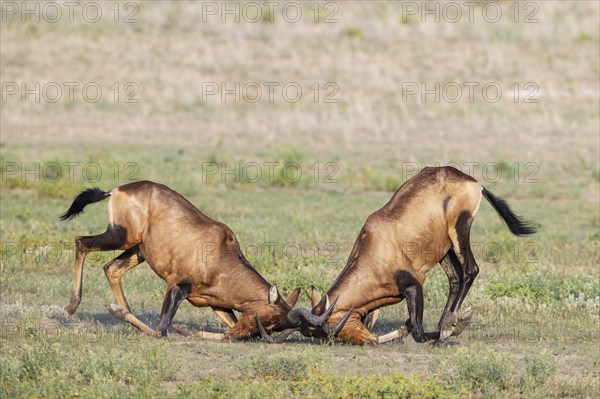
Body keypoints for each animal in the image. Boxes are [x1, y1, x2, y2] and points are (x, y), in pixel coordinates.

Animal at [59, 181, 346, 340]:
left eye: (274, 327)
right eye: (268, 319)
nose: (244, 335)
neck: (220, 253)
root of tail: (117, 190)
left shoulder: (216, 303)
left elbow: (226, 322)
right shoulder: (177, 286)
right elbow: (162, 330)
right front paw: (115, 312)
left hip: (138, 250)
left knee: (112, 269)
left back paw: (122, 310)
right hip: (121, 237)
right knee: (81, 243)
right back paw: (72, 307)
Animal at [304, 167, 536, 346]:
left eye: (334, 331)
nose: (369, 341)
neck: (375, 245)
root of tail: (472, 181)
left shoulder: (414, 285)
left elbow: (418, 332)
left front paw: (446, 331)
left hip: (459, 230)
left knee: (471, 270)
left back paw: (448, 323)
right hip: (444, 247)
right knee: (455, 278)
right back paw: (446, 322)